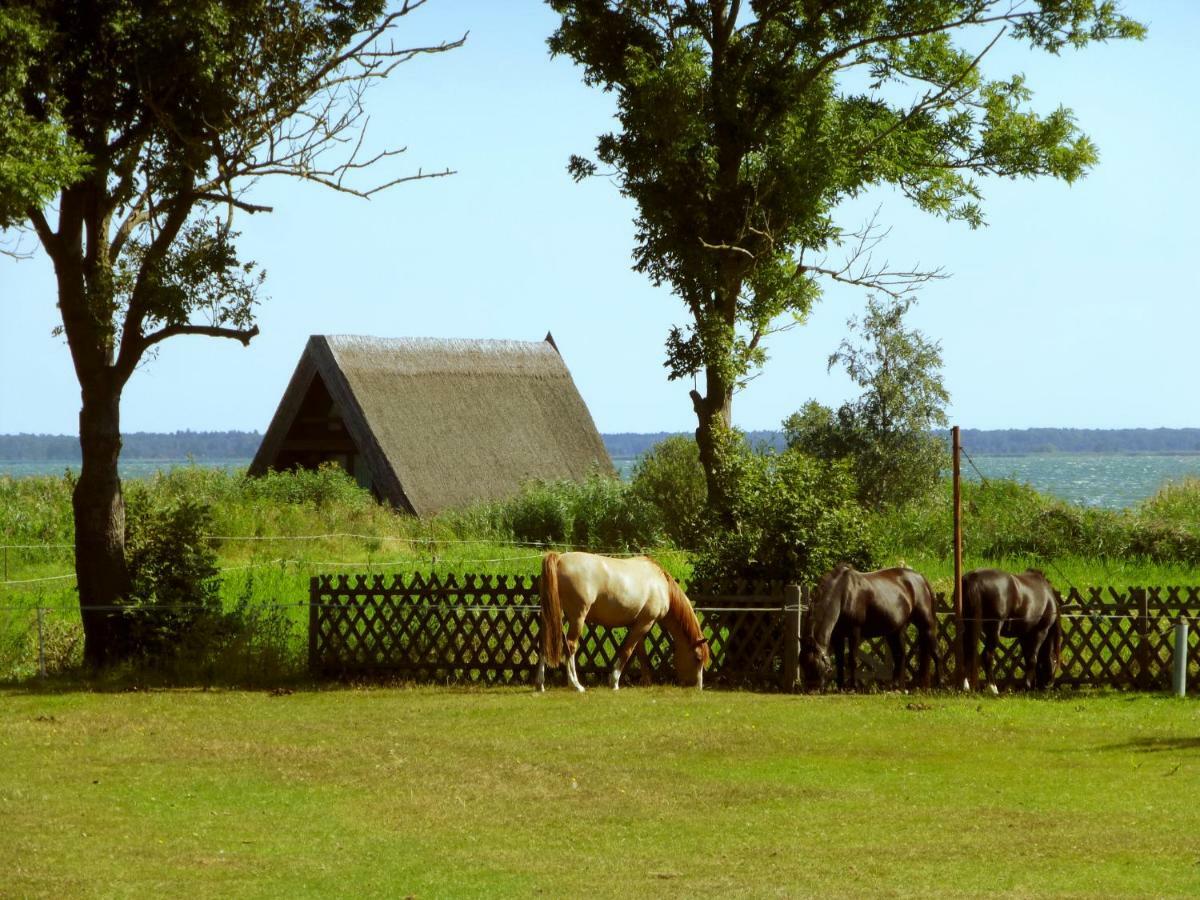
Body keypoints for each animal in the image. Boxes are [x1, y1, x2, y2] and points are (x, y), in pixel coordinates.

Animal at [537, 549, 710, 691]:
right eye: (698, 658)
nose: (698, 687)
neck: (662, 586)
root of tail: (560, 559)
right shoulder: (645, 623)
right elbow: (627, 651)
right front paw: (614, 681)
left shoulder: (638, 625)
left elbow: (641, 654)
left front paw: (646, 681)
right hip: (577, 618)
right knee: (571, 646)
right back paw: (575, 684)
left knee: (545, 642)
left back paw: (540, 684)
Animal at [801, 566, 940, 696]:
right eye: (803, 664)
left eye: (816, 664)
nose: (811, 690)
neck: (843, 593)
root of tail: (921, 579)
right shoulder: (837, 636)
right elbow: (839, 661)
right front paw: (840, 687)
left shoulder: (854, 632)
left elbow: (852, 660)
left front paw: (853, 688)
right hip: (895, 632)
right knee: (900, 656)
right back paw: (897, 687)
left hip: (926, 626)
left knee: (935, 652)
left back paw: (939, 684)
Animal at [960, 566, 1065, 696]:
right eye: (1055, 661)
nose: (1048, 684)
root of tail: (974, 577)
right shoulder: (1040, 632)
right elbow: (1032, 658)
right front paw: (1027, 686)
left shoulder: (1024, 635)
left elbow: (1027, 658)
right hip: (994, 630)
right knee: (987, 655)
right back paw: (993, 688)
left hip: (969, 626)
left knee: (968, 652)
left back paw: (966, 686)